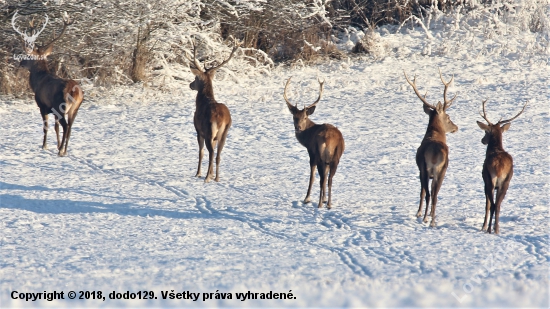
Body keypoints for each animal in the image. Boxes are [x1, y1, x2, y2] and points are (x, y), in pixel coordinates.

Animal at [14, 12, 84, 156]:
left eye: (28, 56)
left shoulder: (43, 106)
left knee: (66, 126)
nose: (21, 63)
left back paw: (61, 151)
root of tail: (75, 92)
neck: (37, 83)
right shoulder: (54, 111)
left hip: (61, 105)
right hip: (75, 108)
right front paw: (57, 145)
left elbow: (46, 127)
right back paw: (64, 150)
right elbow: (55, 127)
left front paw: (44, 146)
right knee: (70, 127)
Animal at [187, 39, 238, 182]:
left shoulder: (198, 130)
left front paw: (198, 173)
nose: (190, 85)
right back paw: (216, 178)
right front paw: (210, 173)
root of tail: (223, 119)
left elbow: (201, 152)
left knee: (211, 152)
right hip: (224, 133)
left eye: (195, 78)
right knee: (218, 154)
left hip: (209, 130)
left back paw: (206, 178)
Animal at [284, 76, 344, 209]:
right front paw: (325, 198)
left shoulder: (311, 153)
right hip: (334, 158)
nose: (298, 127)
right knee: (329, 179)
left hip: (320, 155)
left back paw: (319, 203)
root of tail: (328, 140)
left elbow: (312, 176)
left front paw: (307, 198)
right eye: (294, 117)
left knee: (321, 178)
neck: (308, 137)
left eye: (305, 117)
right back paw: (328, 204)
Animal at [406, 68, 462, 225]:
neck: (435, 133)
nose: (456, 127)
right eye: (448, 117)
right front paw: (424, 214)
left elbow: (424, 192)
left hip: (429, 170)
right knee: (433, 194)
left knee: (430, 194)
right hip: (437, 170)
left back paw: (428, 218)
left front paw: (421, 213)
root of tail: (436, 154)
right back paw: (430, 220)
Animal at [478, 100, 532, 232]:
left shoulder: (485, 181)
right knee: (498, 205)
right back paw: (497, 229)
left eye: (486, 131)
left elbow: (487, 205)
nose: (482, 140)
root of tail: (498, 168)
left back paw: (489, 229)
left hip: (490, 180)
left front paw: (483, 226)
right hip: (506, 182)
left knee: (492, 204)